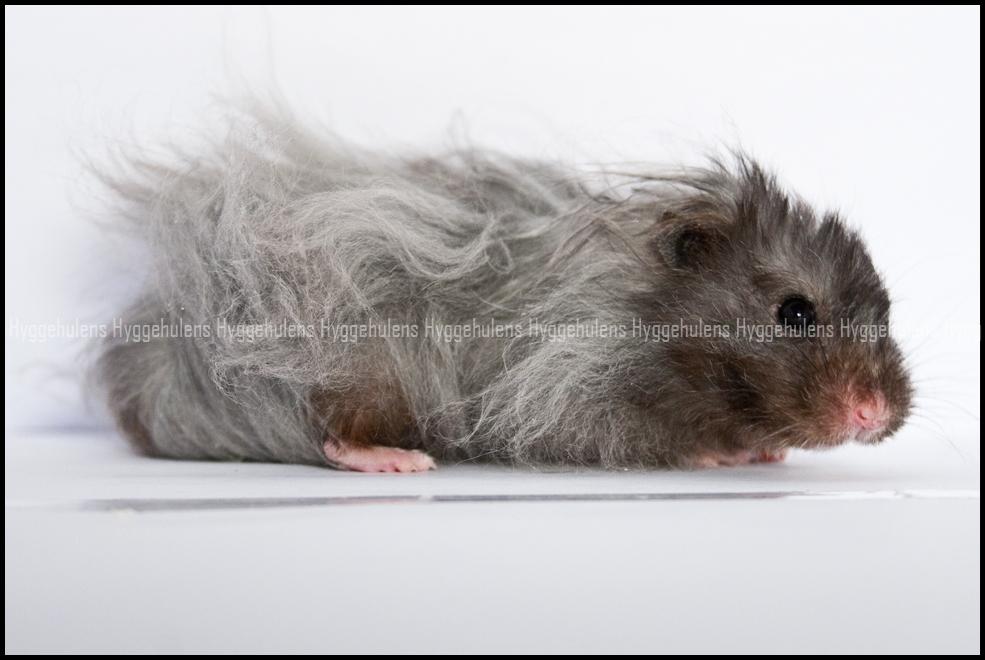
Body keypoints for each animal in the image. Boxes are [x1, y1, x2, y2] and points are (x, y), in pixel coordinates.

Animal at [94, 109, 913, 472]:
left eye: (886, 308)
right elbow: (657, 441)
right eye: (794, 311)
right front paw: (720, 457)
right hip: (357, 365)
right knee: (328, 434)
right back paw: (400, 462)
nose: (876, 416)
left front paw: (763, 454)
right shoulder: (571, 395)